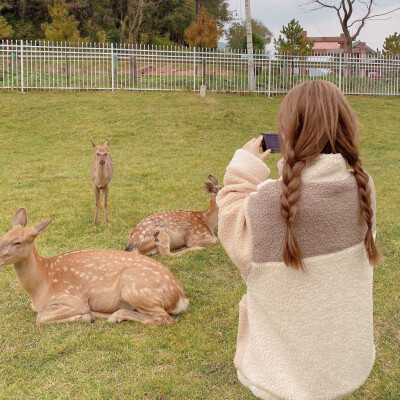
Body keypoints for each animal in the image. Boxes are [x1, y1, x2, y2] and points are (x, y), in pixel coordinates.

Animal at [0, 208, 189, 326]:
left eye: (17, 242)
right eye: (3, 236)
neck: (41, 286)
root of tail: (180, 297)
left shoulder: (72, 298)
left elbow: (39, 318)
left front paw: (82, 317)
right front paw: (87, 317)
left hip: (134, 287)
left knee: (163, 318)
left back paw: (112, 316)